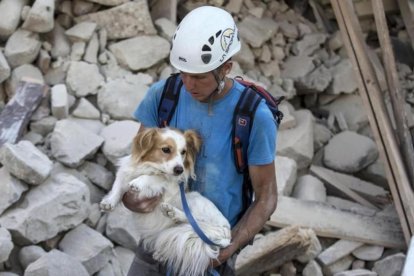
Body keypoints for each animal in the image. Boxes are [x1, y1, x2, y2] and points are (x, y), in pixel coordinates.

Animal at [99, 127, 231, 276]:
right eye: (166, 149)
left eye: (183, 152)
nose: (179, 169)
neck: (150, 166)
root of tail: (226, 232)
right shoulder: (125, 173)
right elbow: (118, 187)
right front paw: (109, 202)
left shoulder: (168, 184)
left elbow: (156, 178)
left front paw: (139, 182)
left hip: (194, 201)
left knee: (195, 220)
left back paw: (172, 212)